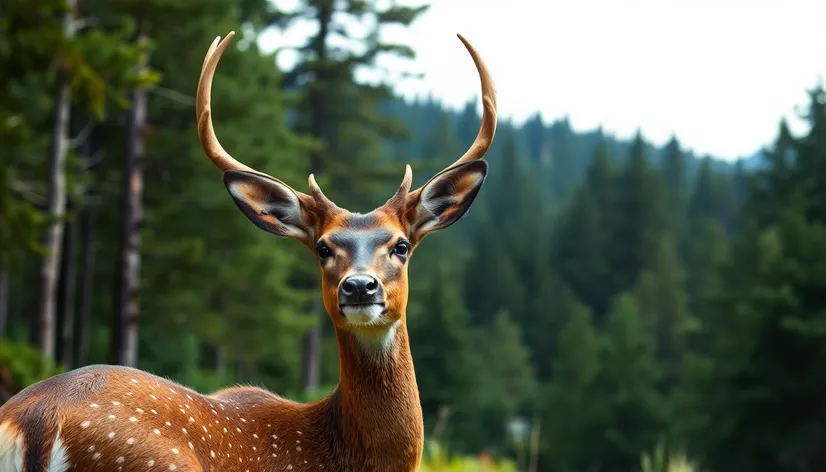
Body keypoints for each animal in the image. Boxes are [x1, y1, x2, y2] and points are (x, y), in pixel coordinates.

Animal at [0, 30, 496, 472]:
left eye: (401, 245)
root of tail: (35, 420)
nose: (359, 287)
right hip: (139, 458)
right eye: (322, 248)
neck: (339, 453)